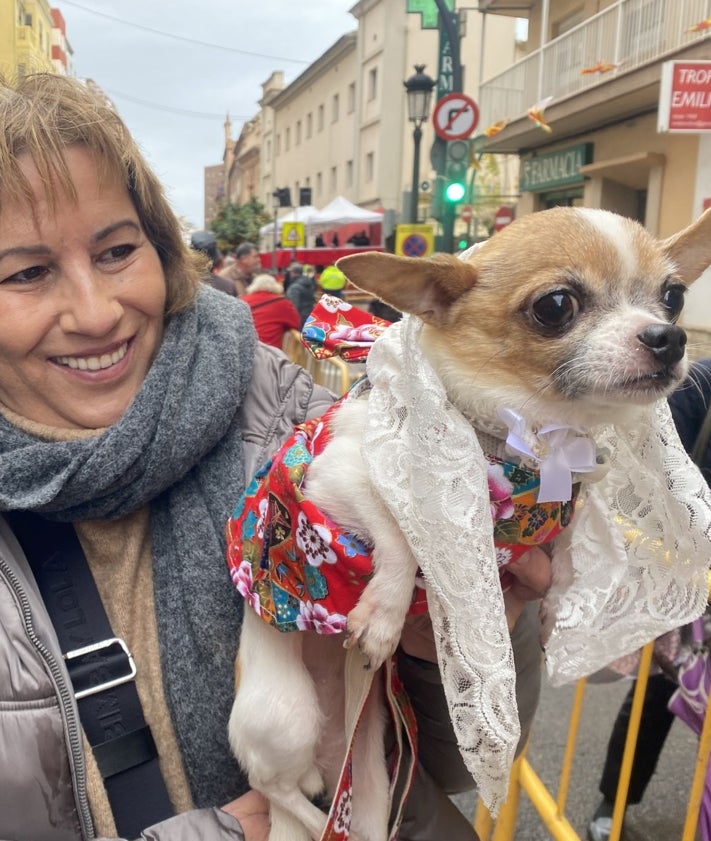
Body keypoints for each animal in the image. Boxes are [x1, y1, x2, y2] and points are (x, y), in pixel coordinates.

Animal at [228, 205, 711, 840]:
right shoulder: (335, 477)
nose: (669, 337)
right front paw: (384, 613)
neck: (529, 444)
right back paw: (308, 815)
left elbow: (567, 552)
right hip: (286, 714)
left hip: (370, 757)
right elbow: (403, 534)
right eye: (556, 305)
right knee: (274, 787)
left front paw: (558, 602)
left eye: (674, 297)